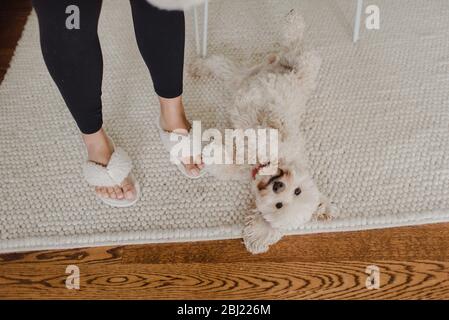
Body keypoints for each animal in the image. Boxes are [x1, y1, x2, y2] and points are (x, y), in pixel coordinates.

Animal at [191, 11, 334, 254]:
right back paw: (292, 21)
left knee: (223, 65)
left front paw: (212, 153)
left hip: (240, 77)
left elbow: (227, 163)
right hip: (299, 67)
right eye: (297, 191)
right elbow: (267, 130)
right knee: (297, 46)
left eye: (280, 204)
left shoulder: (244, 166)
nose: (278, 184)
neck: (269, 162)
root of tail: (274, 63)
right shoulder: (280, 132)